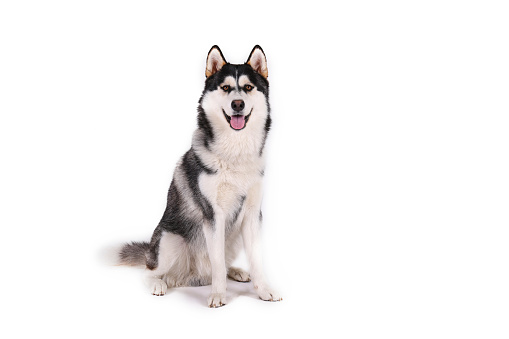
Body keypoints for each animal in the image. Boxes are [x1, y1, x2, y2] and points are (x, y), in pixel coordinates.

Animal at [117, 45, 280, 308]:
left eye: (247, 87)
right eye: (225, 88)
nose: (237, 104)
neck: (235, 154)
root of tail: (192, 276)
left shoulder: (253, 215)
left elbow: (256, 260)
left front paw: (264, 290)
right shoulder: (213, 215)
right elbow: (217, 261)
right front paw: (218, 295)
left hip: (233, 236)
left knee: (221, 265)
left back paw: (236, 271)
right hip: (169, 240)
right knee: (149, 271)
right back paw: (158, 284)